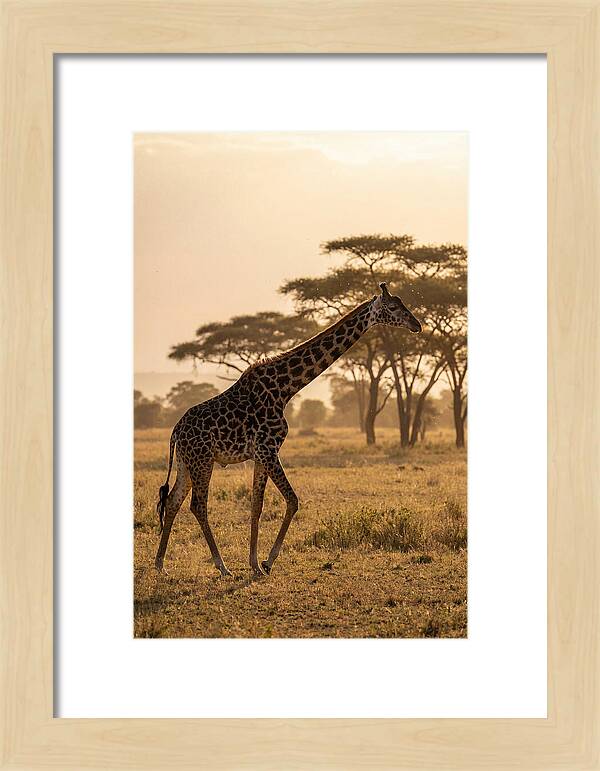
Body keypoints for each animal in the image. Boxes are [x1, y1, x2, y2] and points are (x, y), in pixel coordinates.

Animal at [155, 282, 421, 578]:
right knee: (198, 505)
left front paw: (254, 564)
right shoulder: (268, 449)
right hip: (202, 460)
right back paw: (222, 567)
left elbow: (256, 505)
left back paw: (160, 564)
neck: (285, 389)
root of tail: (176, 430)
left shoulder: (261, 454)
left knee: (173, 501)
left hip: (186, 462)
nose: (417, 325)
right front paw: (268, 561)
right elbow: (293, 500)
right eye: (394, 307)